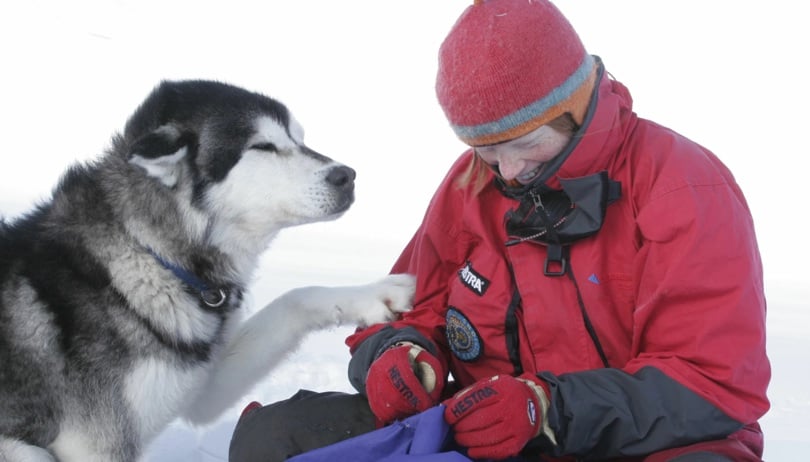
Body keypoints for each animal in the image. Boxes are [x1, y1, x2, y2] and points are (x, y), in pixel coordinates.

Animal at [0, 81, 414, 460]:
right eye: (262, 146)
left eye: (299, 139)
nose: (348, 175)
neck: (151, 257)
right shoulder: (95, 445)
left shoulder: (200, 386)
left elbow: (294, 298)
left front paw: (374, 294)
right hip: (26, 451)